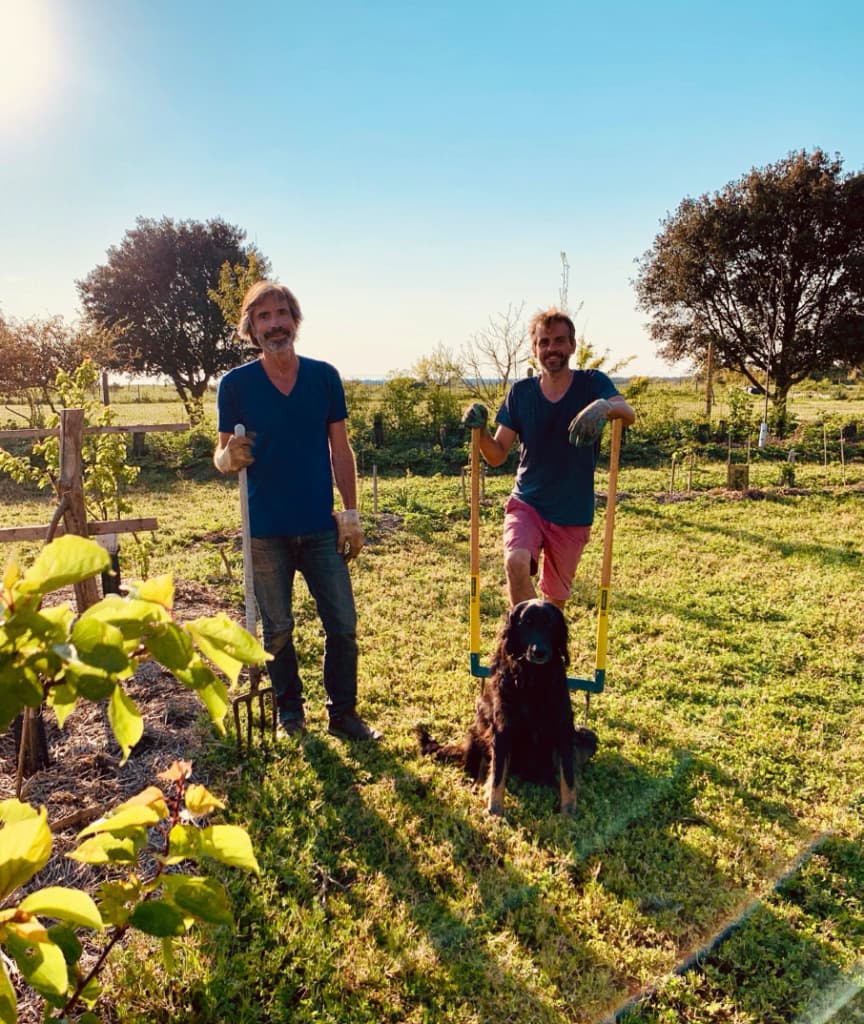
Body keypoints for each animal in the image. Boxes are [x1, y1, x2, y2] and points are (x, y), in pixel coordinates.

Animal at [415, 598, 597, 815]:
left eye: (550, 624)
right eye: (526, 622)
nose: (539, 651)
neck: (533, 677)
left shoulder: (563, 729)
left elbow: (568, 777)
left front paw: (568, 813)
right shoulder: (502, 729)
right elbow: (497, 775)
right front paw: (495, 811)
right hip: (478, 729)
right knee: (482, 766)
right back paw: (478, 786)